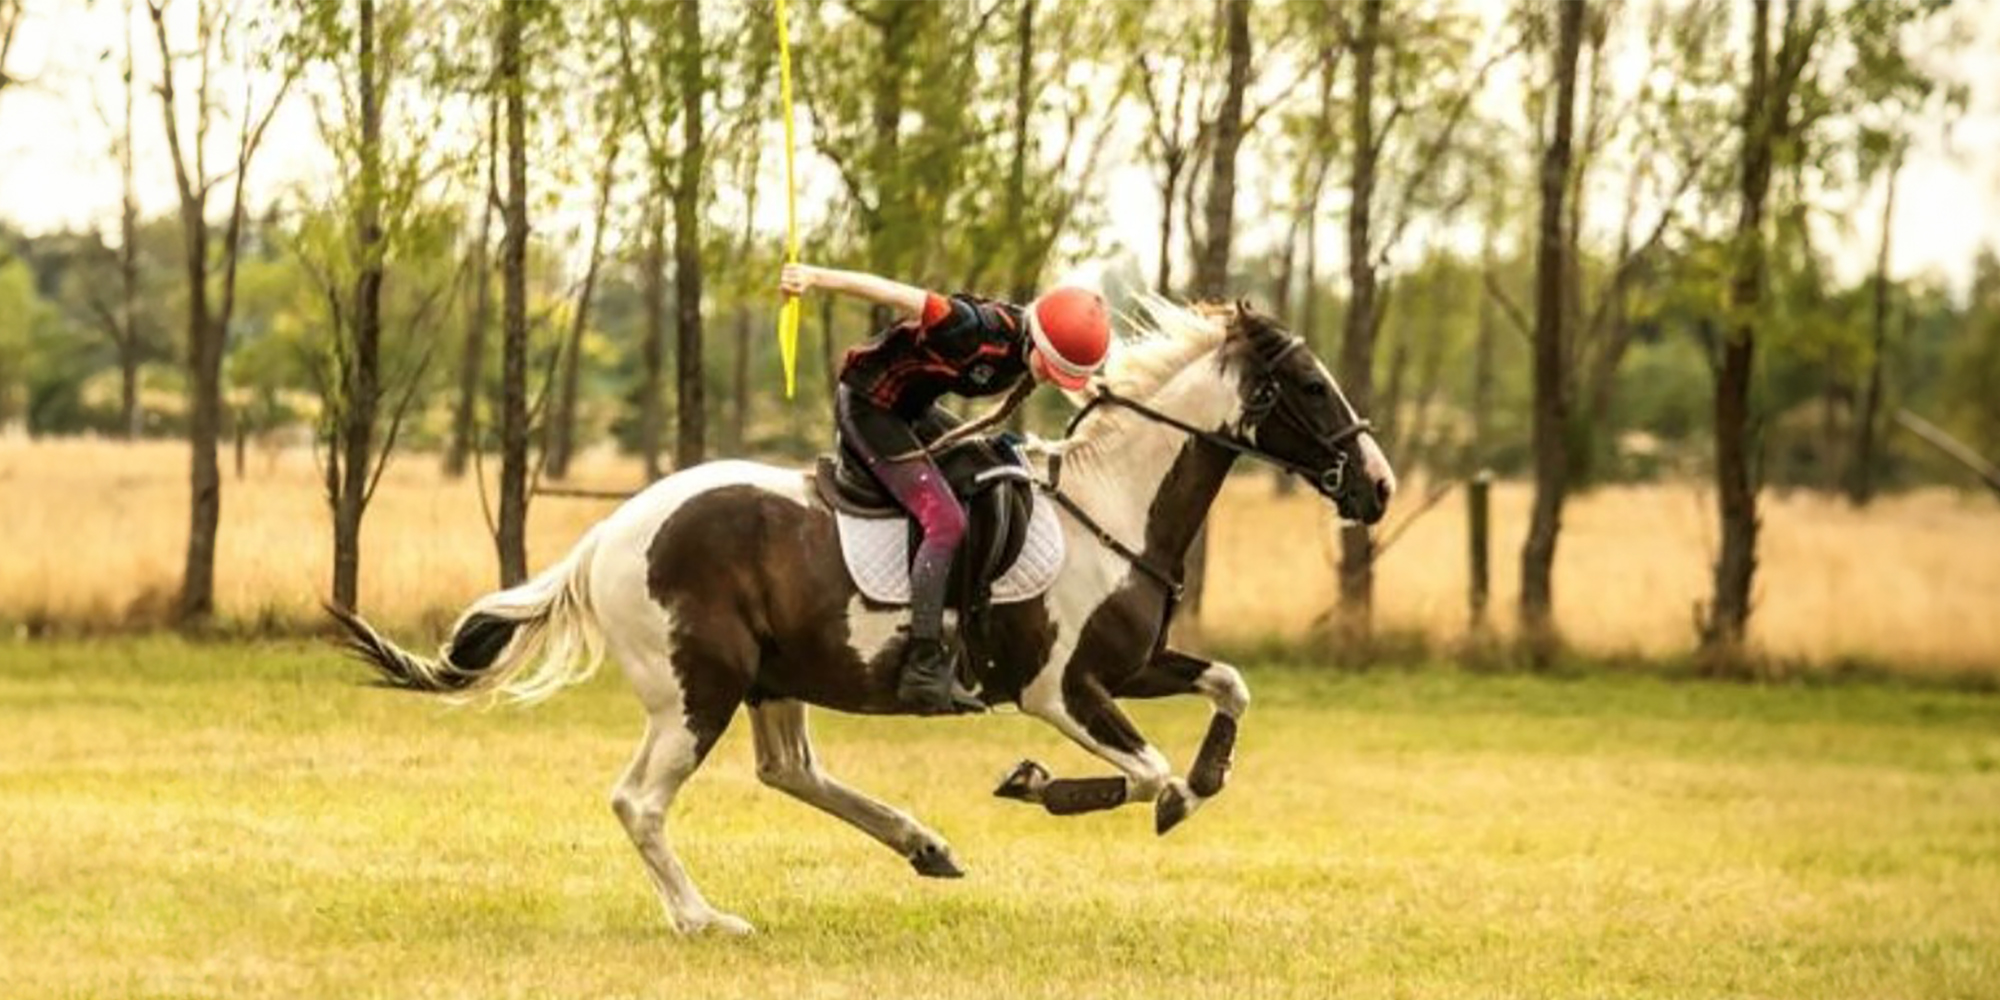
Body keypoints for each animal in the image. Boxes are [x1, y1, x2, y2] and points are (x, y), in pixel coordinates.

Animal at [332, 298, 1392, 936]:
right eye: (1311, 386)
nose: (1376, 488)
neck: (1114, 506)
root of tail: (603, 540)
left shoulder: (1131, 664)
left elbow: (1229, 689)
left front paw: (1208, 774)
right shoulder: (1061, 690)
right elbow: (1149, 779)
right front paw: (1041, 785)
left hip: (774, 679)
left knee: (791, 771)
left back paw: (923, 846)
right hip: (698, 691)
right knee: (641, 802)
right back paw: (704, 919)